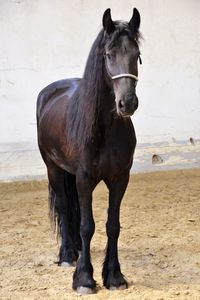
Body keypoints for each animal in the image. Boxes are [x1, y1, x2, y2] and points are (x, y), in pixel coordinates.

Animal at [36, 7, 141, 296]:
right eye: (108, 54)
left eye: (136, 54)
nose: (127, 103)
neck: (104, 130)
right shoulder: (83, 179)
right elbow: (86, 226)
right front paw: (84, 278)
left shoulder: (120, 178)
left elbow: (112, 225)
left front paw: (114, 276)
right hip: (53, 168)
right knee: (63, 207)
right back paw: (68, 255)